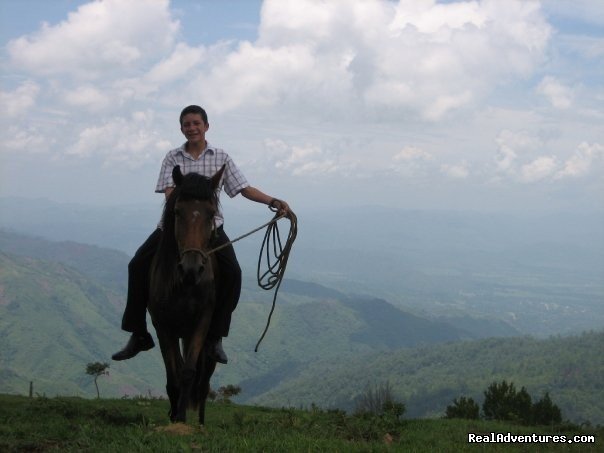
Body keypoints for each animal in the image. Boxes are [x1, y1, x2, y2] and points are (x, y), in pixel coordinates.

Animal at [147, 163, 225, 424]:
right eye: (178, 212)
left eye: (211, 213)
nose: (192, 269)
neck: (185, 285)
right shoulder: (163, 325)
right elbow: (173, 374)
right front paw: (174, 415)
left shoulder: (201, 322)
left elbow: (189, 372)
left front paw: (181, 417)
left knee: (204, 383)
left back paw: (200, 421)